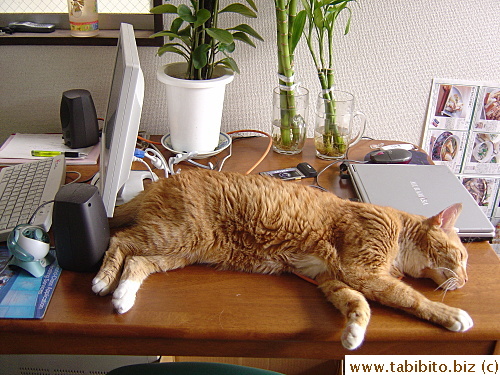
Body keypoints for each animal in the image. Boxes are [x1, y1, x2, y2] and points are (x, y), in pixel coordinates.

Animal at [93, 169, 472, 352]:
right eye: (462, 256)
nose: (467, 281)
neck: (399, 235)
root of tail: (159, 182)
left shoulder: (334, 279)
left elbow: (358, 305)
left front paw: (353, 334)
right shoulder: (362, 270)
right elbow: (411, 297)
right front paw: (453, 315)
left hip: (180, 250)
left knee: (137, 262)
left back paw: (123, 296)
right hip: (175, 235)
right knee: (119, 241)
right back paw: (102, 282)